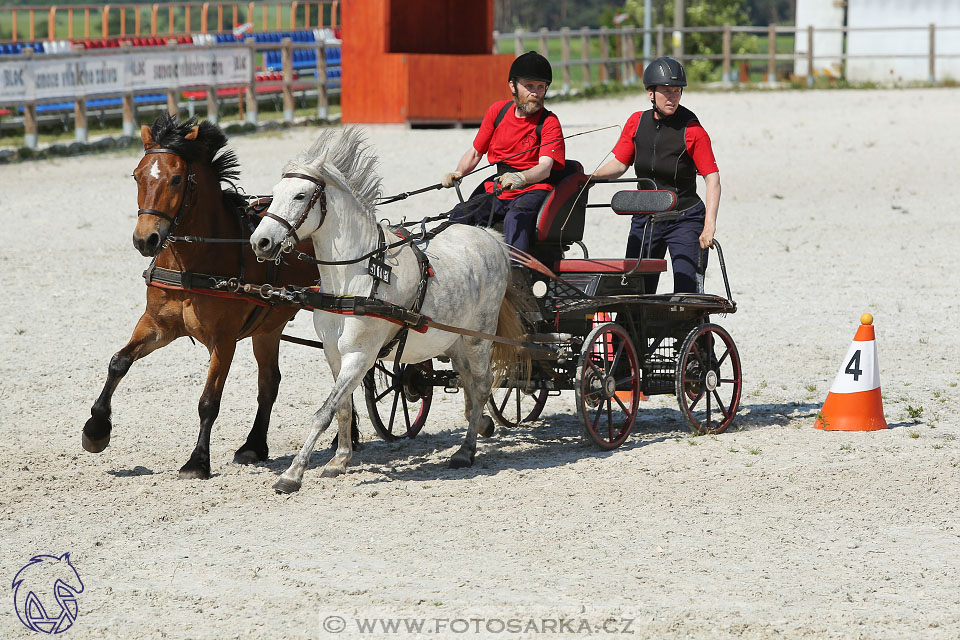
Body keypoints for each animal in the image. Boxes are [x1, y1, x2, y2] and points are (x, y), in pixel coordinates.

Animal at [83, 112, 322, 478]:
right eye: (137, 175)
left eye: (177, 179)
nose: (145, 239)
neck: (194, 261)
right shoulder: (157, 326)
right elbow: (118, 362)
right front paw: (96, 429)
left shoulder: (223, 340)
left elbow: (209, 401)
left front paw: (197, 461)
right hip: (268, 327)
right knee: (270, 382)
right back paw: (254, 446)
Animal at [251, 127, 524, 492]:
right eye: (274, 194)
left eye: (299, 196)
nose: (260, 242)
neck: (353, 278)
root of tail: (490, 237)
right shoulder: (333, 353)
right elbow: (341, 406)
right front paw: (339, 459)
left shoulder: (361, 355)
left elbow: (324, 411)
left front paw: (293, 473)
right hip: (451, 338)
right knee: (467, 379)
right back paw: (479, 425)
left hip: (478, 336)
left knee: (481, 384)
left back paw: (466, 450)